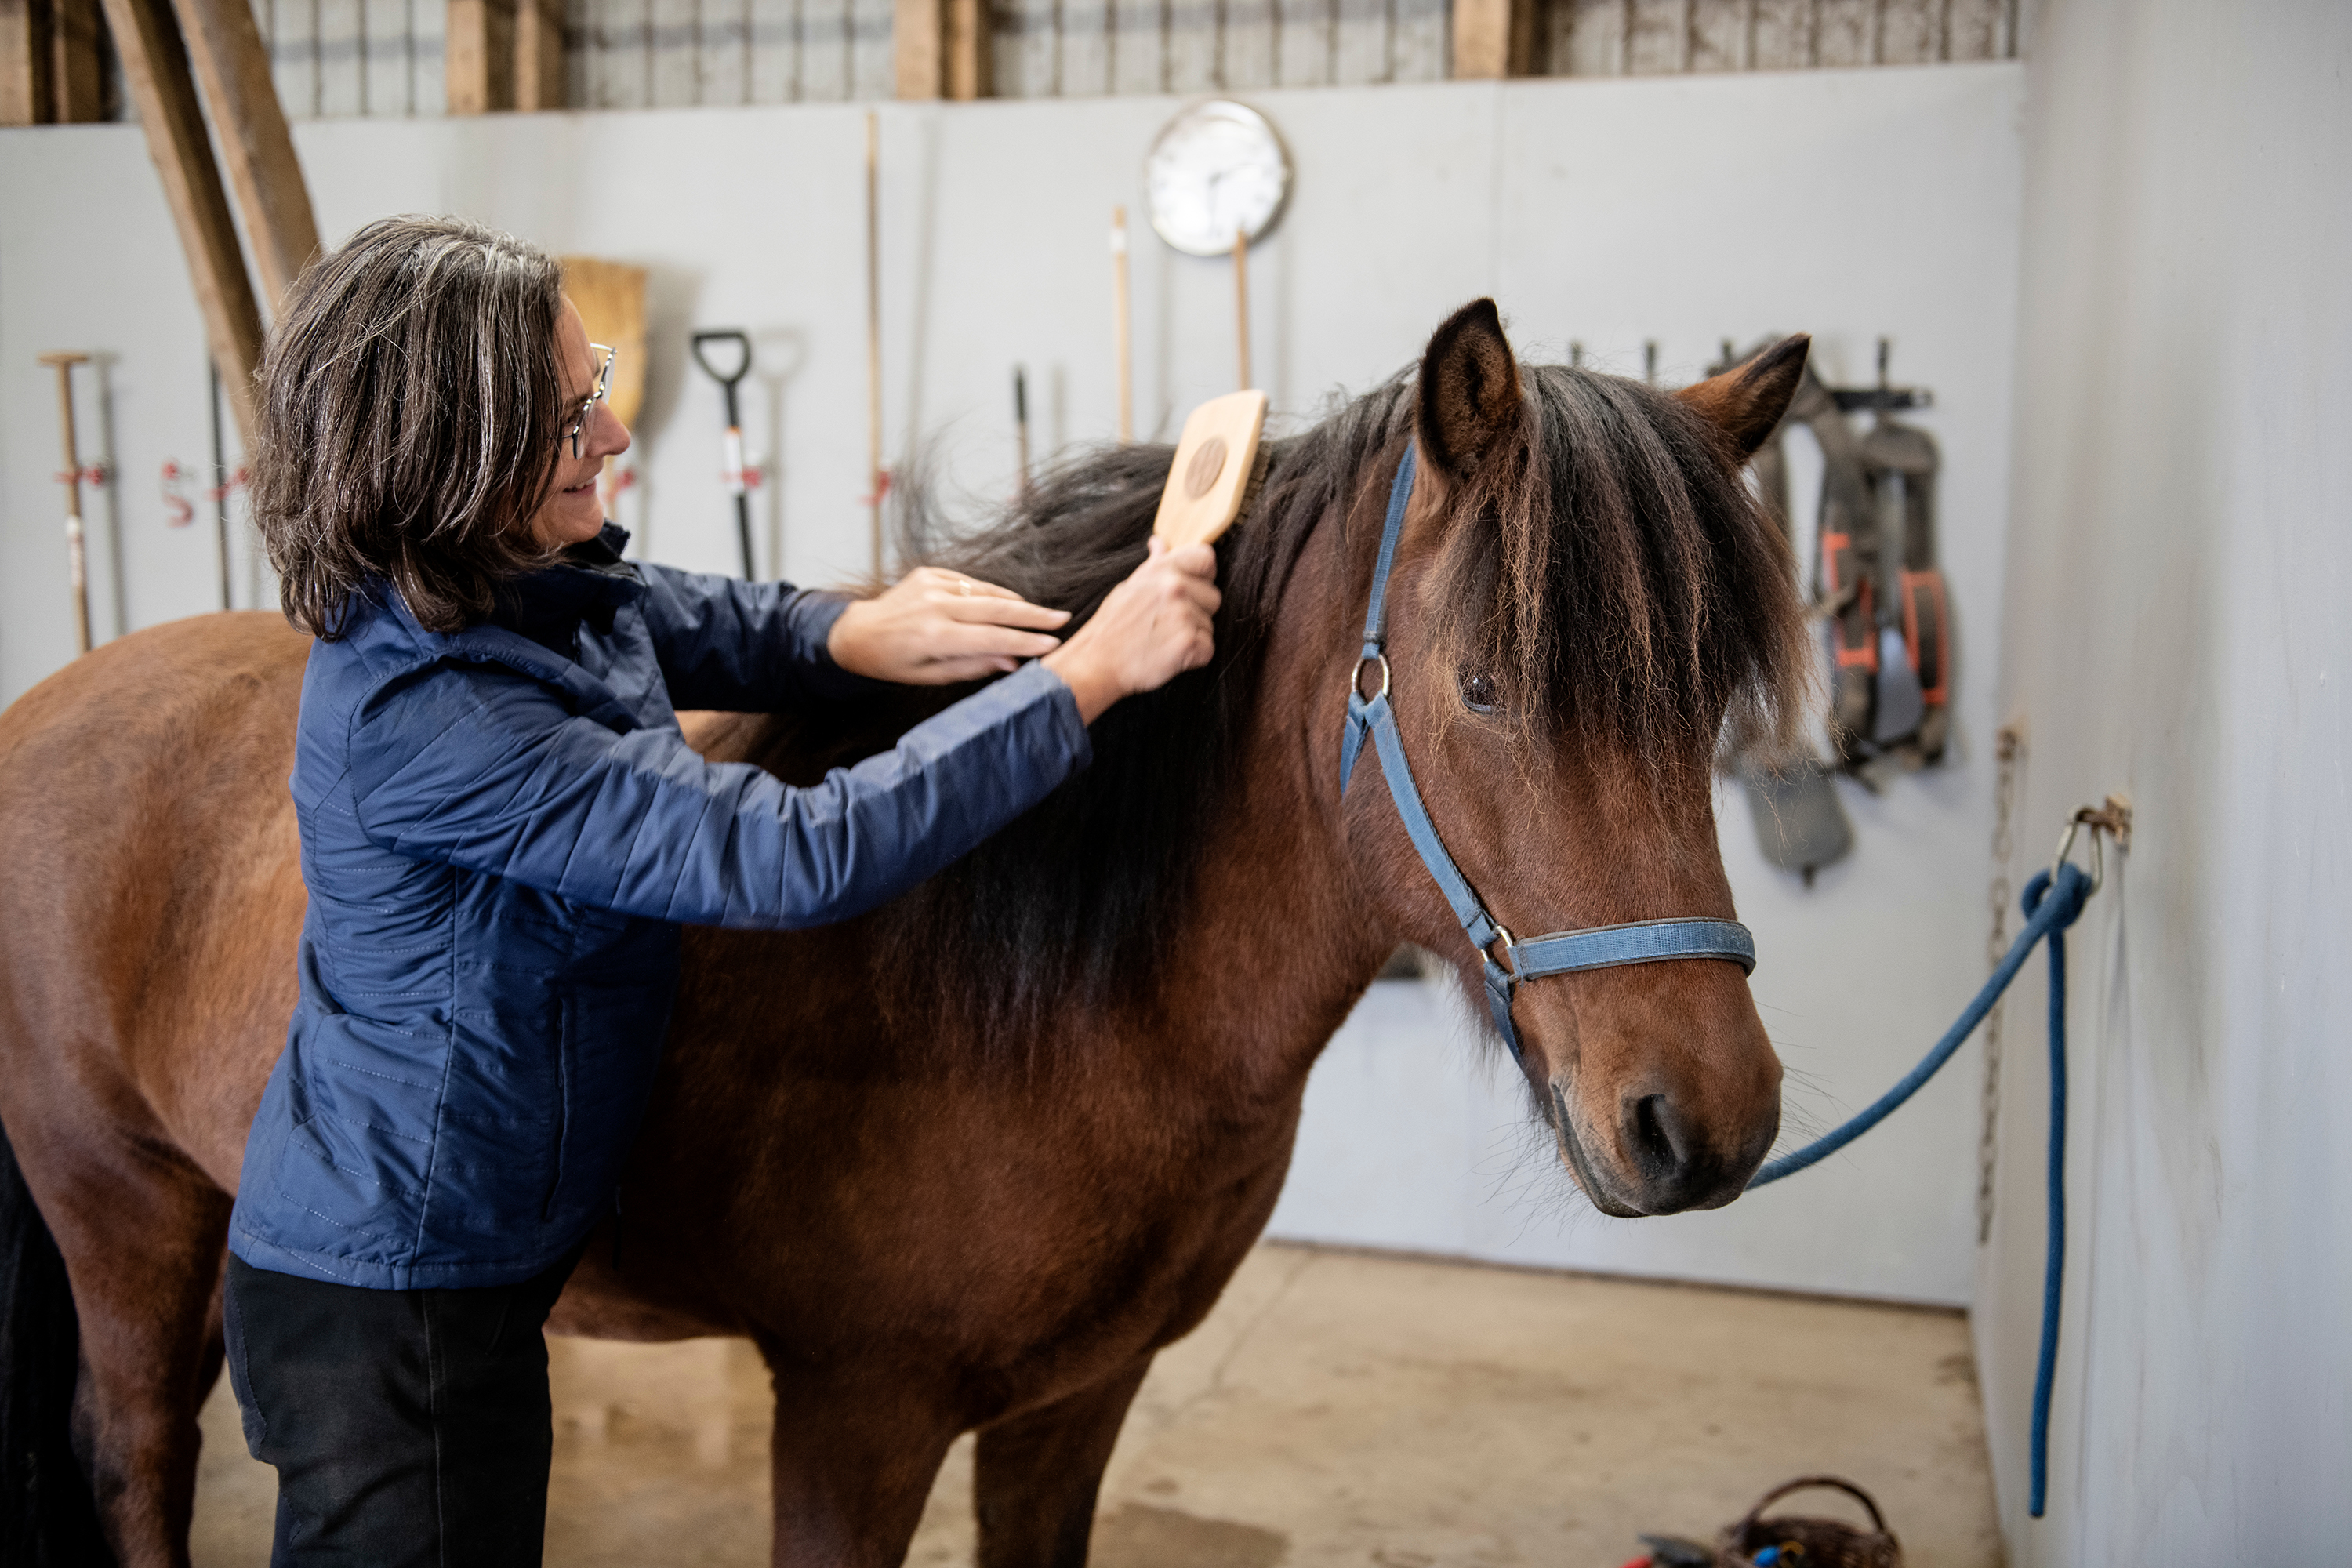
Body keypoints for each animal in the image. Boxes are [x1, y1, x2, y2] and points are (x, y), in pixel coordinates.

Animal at [0, 300, 1806, 1561]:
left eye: (1710, 692)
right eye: (1485, 687)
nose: (1704, 1123)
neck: (1063, 1000)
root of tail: (50, 702)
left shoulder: (1074, 1407)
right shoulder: (853, 1420)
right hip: (125, 1220)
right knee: (134, 1459)